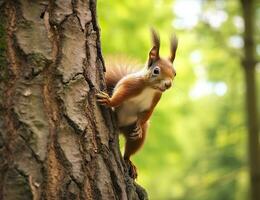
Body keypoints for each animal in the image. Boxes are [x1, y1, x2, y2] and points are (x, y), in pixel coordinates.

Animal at [96, 28, 178, 179]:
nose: (168, 84)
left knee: (130, 148)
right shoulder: (131, 86)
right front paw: (109, 100)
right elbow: (119, 97)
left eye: (175, 73)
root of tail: (120, 129)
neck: (151, 88)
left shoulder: (156, 99)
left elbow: (147, 113)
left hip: (133, 132)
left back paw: (129, 162)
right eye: (156, 71)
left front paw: (139, 126)